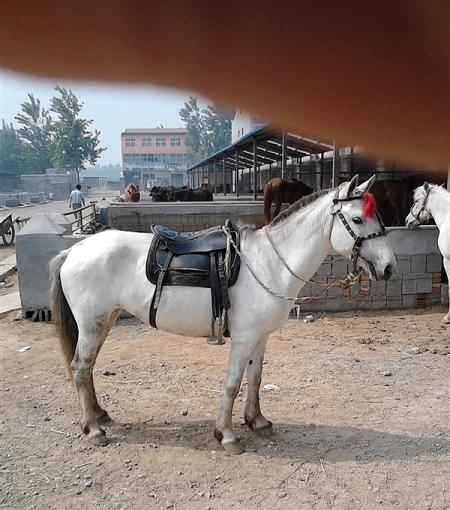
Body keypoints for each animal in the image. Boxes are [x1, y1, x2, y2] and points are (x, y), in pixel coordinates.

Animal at [49, 174, 396, 450]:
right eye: (357, 219)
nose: (389, 268)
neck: (270, 262)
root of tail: (73, 250)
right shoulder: (243, 339)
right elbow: (232, 383)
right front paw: (226, 434)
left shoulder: (260, 338)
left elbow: (255, 378)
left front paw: (257, 421)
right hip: (93, 324)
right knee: (80, 368)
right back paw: (94, 429)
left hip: (103, 322)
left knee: (88, 368)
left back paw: (99, 415)